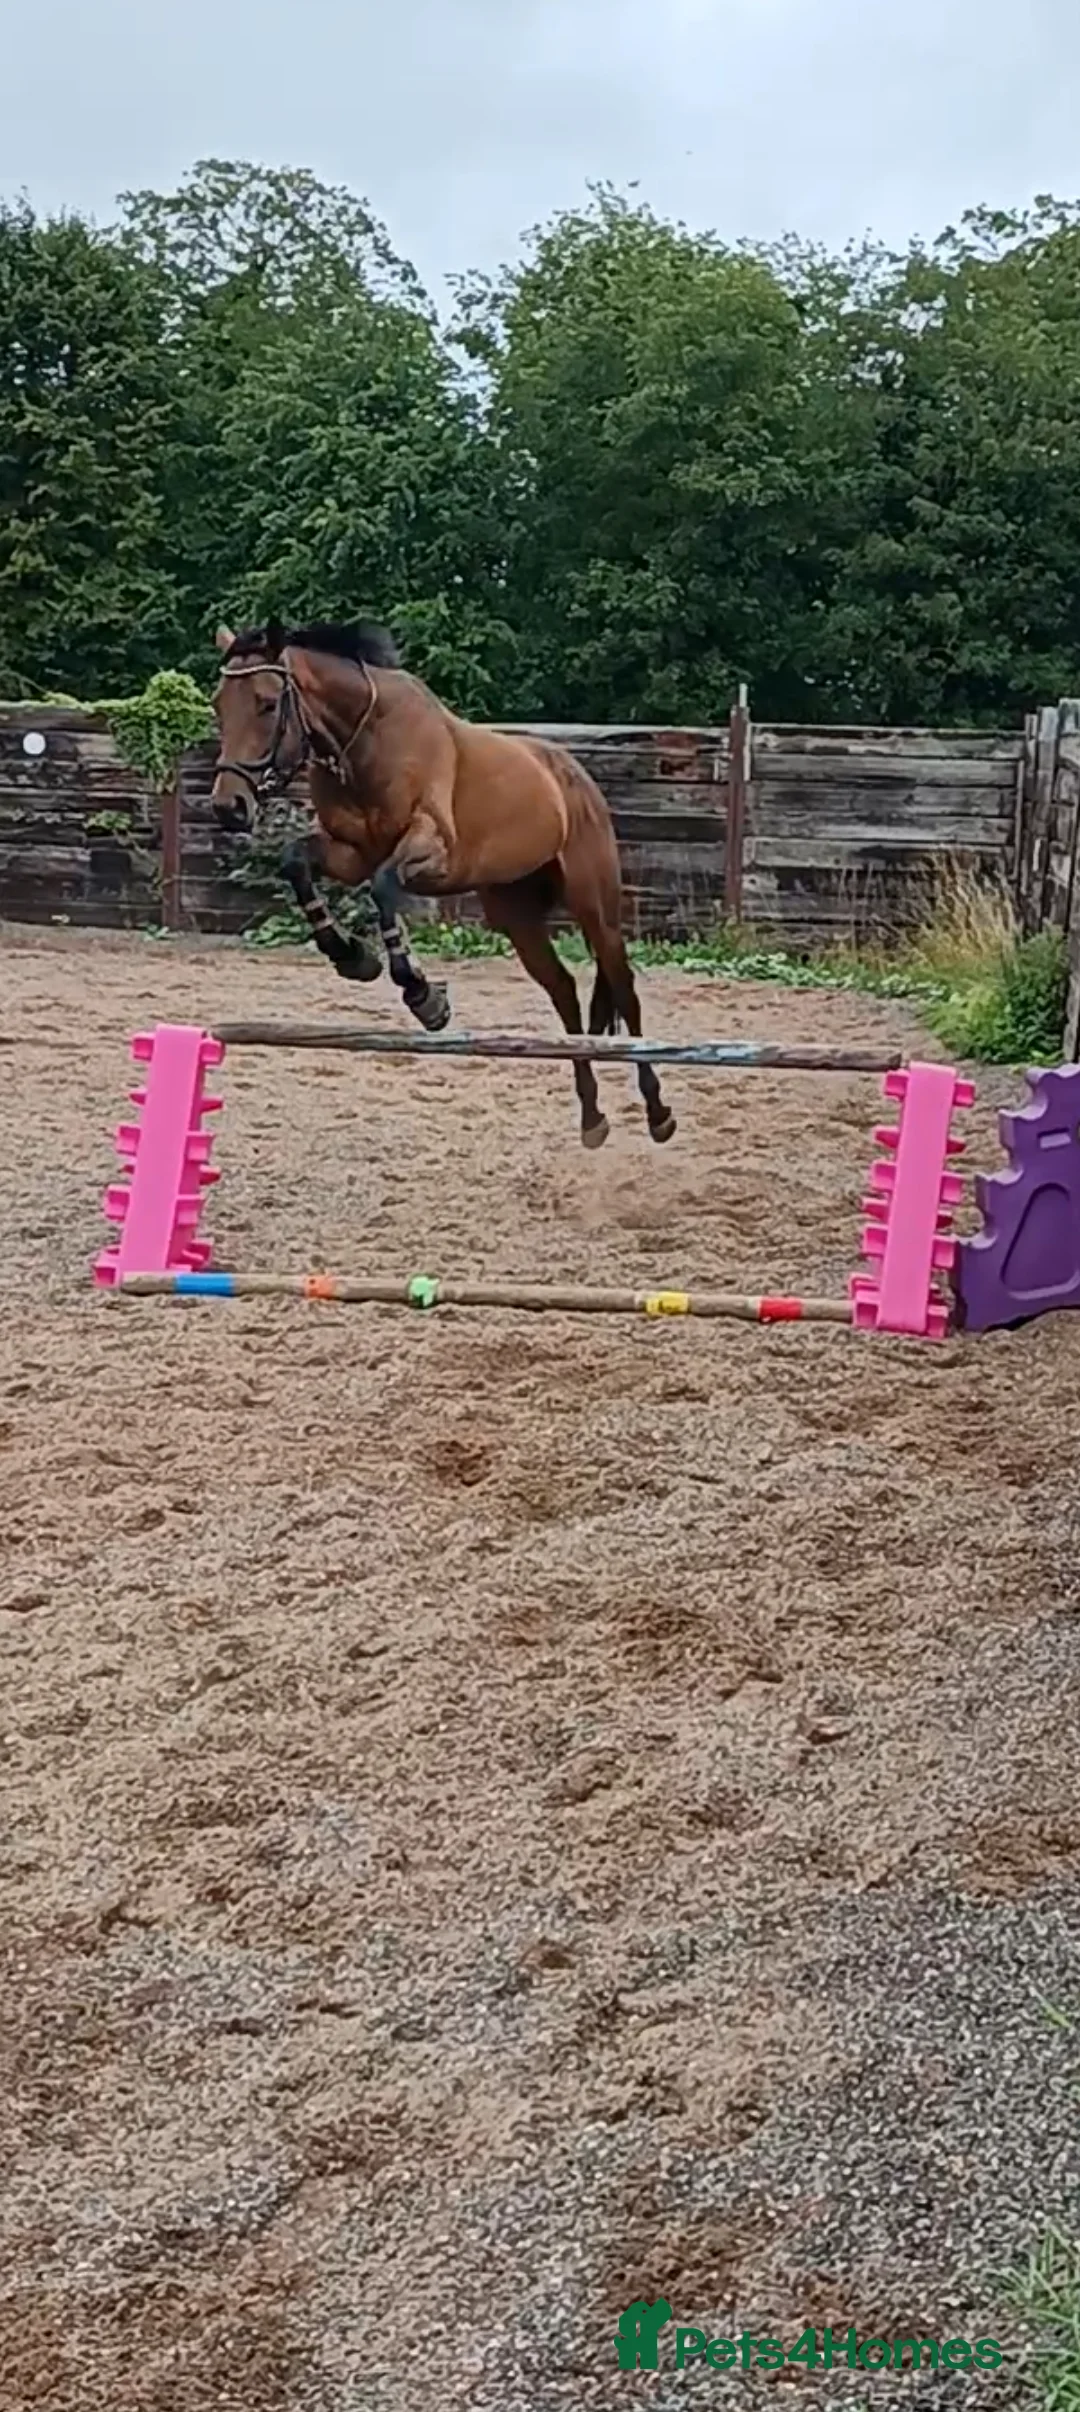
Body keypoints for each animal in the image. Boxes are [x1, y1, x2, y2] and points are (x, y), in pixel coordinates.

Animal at [210, 618, 676, 1148]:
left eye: (268, 703)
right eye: (218, 706)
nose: (228, 807)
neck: (362, 740)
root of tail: (576, 775)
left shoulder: (431, 848)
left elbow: (384, 888)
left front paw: (423, 997)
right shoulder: (351, 855)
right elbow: (296, 863)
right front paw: (351, 956)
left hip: (595, 909)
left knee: (624, 989)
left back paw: (658, 1112)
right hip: (517, 916)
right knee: (562, 990)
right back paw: (592, 1116)